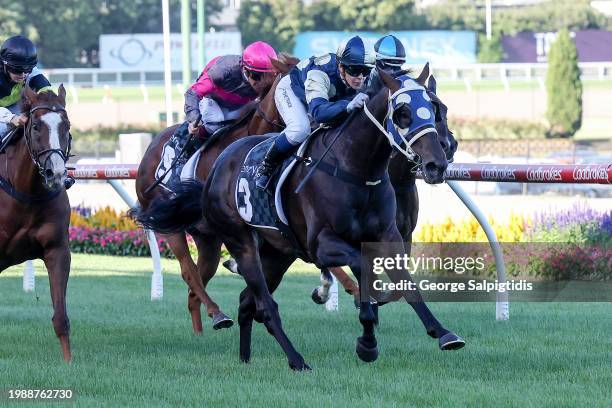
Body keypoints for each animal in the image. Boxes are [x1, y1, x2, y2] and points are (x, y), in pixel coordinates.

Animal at [0, 84, 73, 362]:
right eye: (35, 127)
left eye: (67, 126)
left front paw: (68, 362)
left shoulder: (57, 250)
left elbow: (61, 318)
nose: (56, 173)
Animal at [137, 67, 464, 370]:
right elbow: (361, 267)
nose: (437, 163)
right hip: (240, 242)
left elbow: (405, 284)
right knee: (261, 304)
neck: (356, 169)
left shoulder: (388, 236)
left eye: (434, 108)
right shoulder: (322, 243)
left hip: (277, 253)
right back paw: (295, 360)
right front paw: (367, 341)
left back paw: (245, 358)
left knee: (246, 302)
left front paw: (444, 333)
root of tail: (217, 166)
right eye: (403, 113)